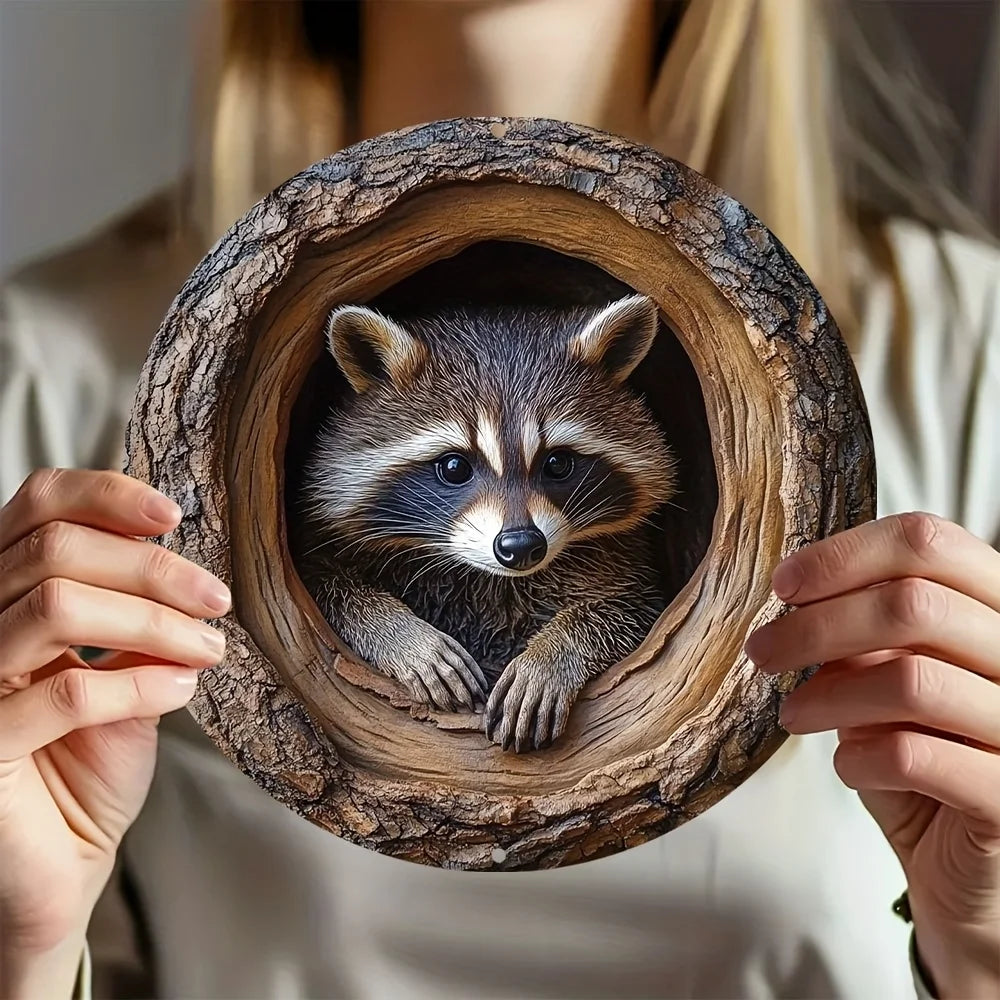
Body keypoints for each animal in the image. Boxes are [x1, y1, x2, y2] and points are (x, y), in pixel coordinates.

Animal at [298, 293, 677, 753]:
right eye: (454, 466)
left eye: (558, 463)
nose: (521, 546)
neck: (491, 578)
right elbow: (329, 586)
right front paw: (404, 635)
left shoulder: (621, 563)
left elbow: (625, 609)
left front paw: (551, 655)